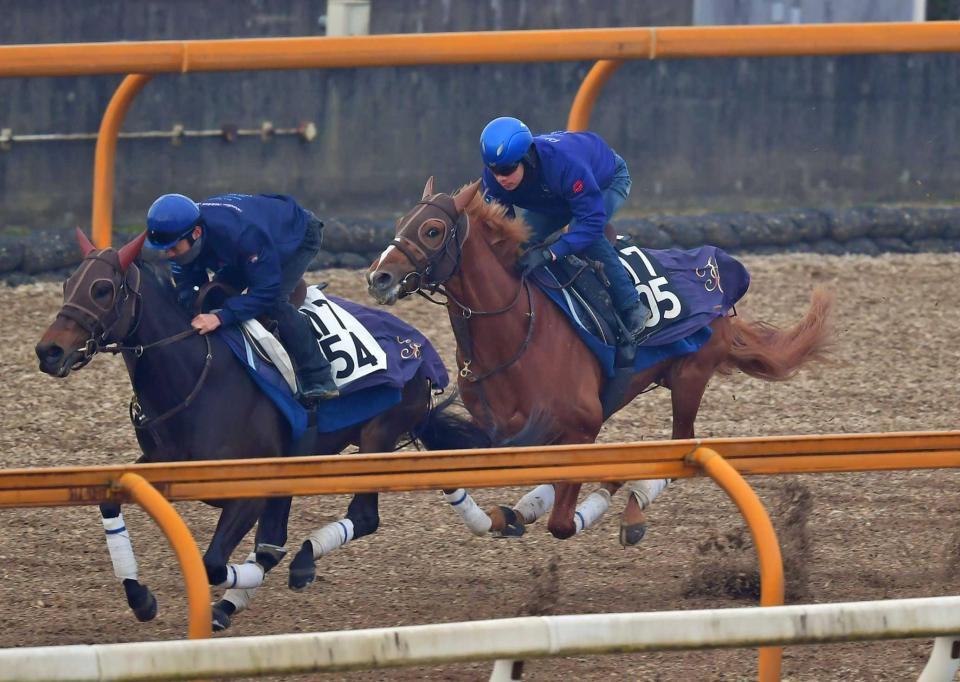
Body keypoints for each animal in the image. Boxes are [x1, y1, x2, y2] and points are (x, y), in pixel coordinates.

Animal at [33, 231, 492, 628]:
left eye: (102, 289)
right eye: (68, 284)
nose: (48, 350)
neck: (196, 377)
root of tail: (418, 346)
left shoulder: (249, 490)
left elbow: (214, 564)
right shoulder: (166, 464)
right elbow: (109, 503)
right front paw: (141, 598)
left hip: (376, 438)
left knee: (361, 517)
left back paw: (301, 562)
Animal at [368, 178, 832, 540]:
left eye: (432, 230)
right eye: (398, 223)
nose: (378, 277)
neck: (515, 334)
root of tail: (718, 269)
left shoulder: (581, 424)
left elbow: (562, 522)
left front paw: (607, 487)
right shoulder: (511, 433)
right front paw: (511, 513)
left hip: (690, 375)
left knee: (680, 444)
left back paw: (634, 508)